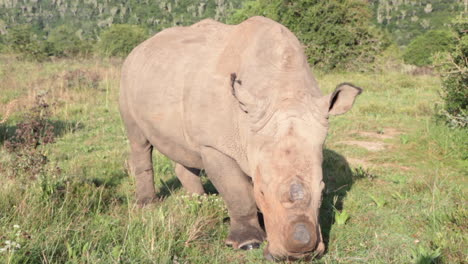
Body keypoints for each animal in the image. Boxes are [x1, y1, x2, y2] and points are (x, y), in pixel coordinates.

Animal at [120, 17, 362, 262]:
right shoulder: (216, 146)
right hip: (128, 74)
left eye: (322, 190)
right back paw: (147, 206)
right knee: (139, 141)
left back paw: (199, 201)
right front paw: (249, 243)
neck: (283, 90)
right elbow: (237, 191)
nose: (299, 253)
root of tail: (140, 46)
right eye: (262, 191)